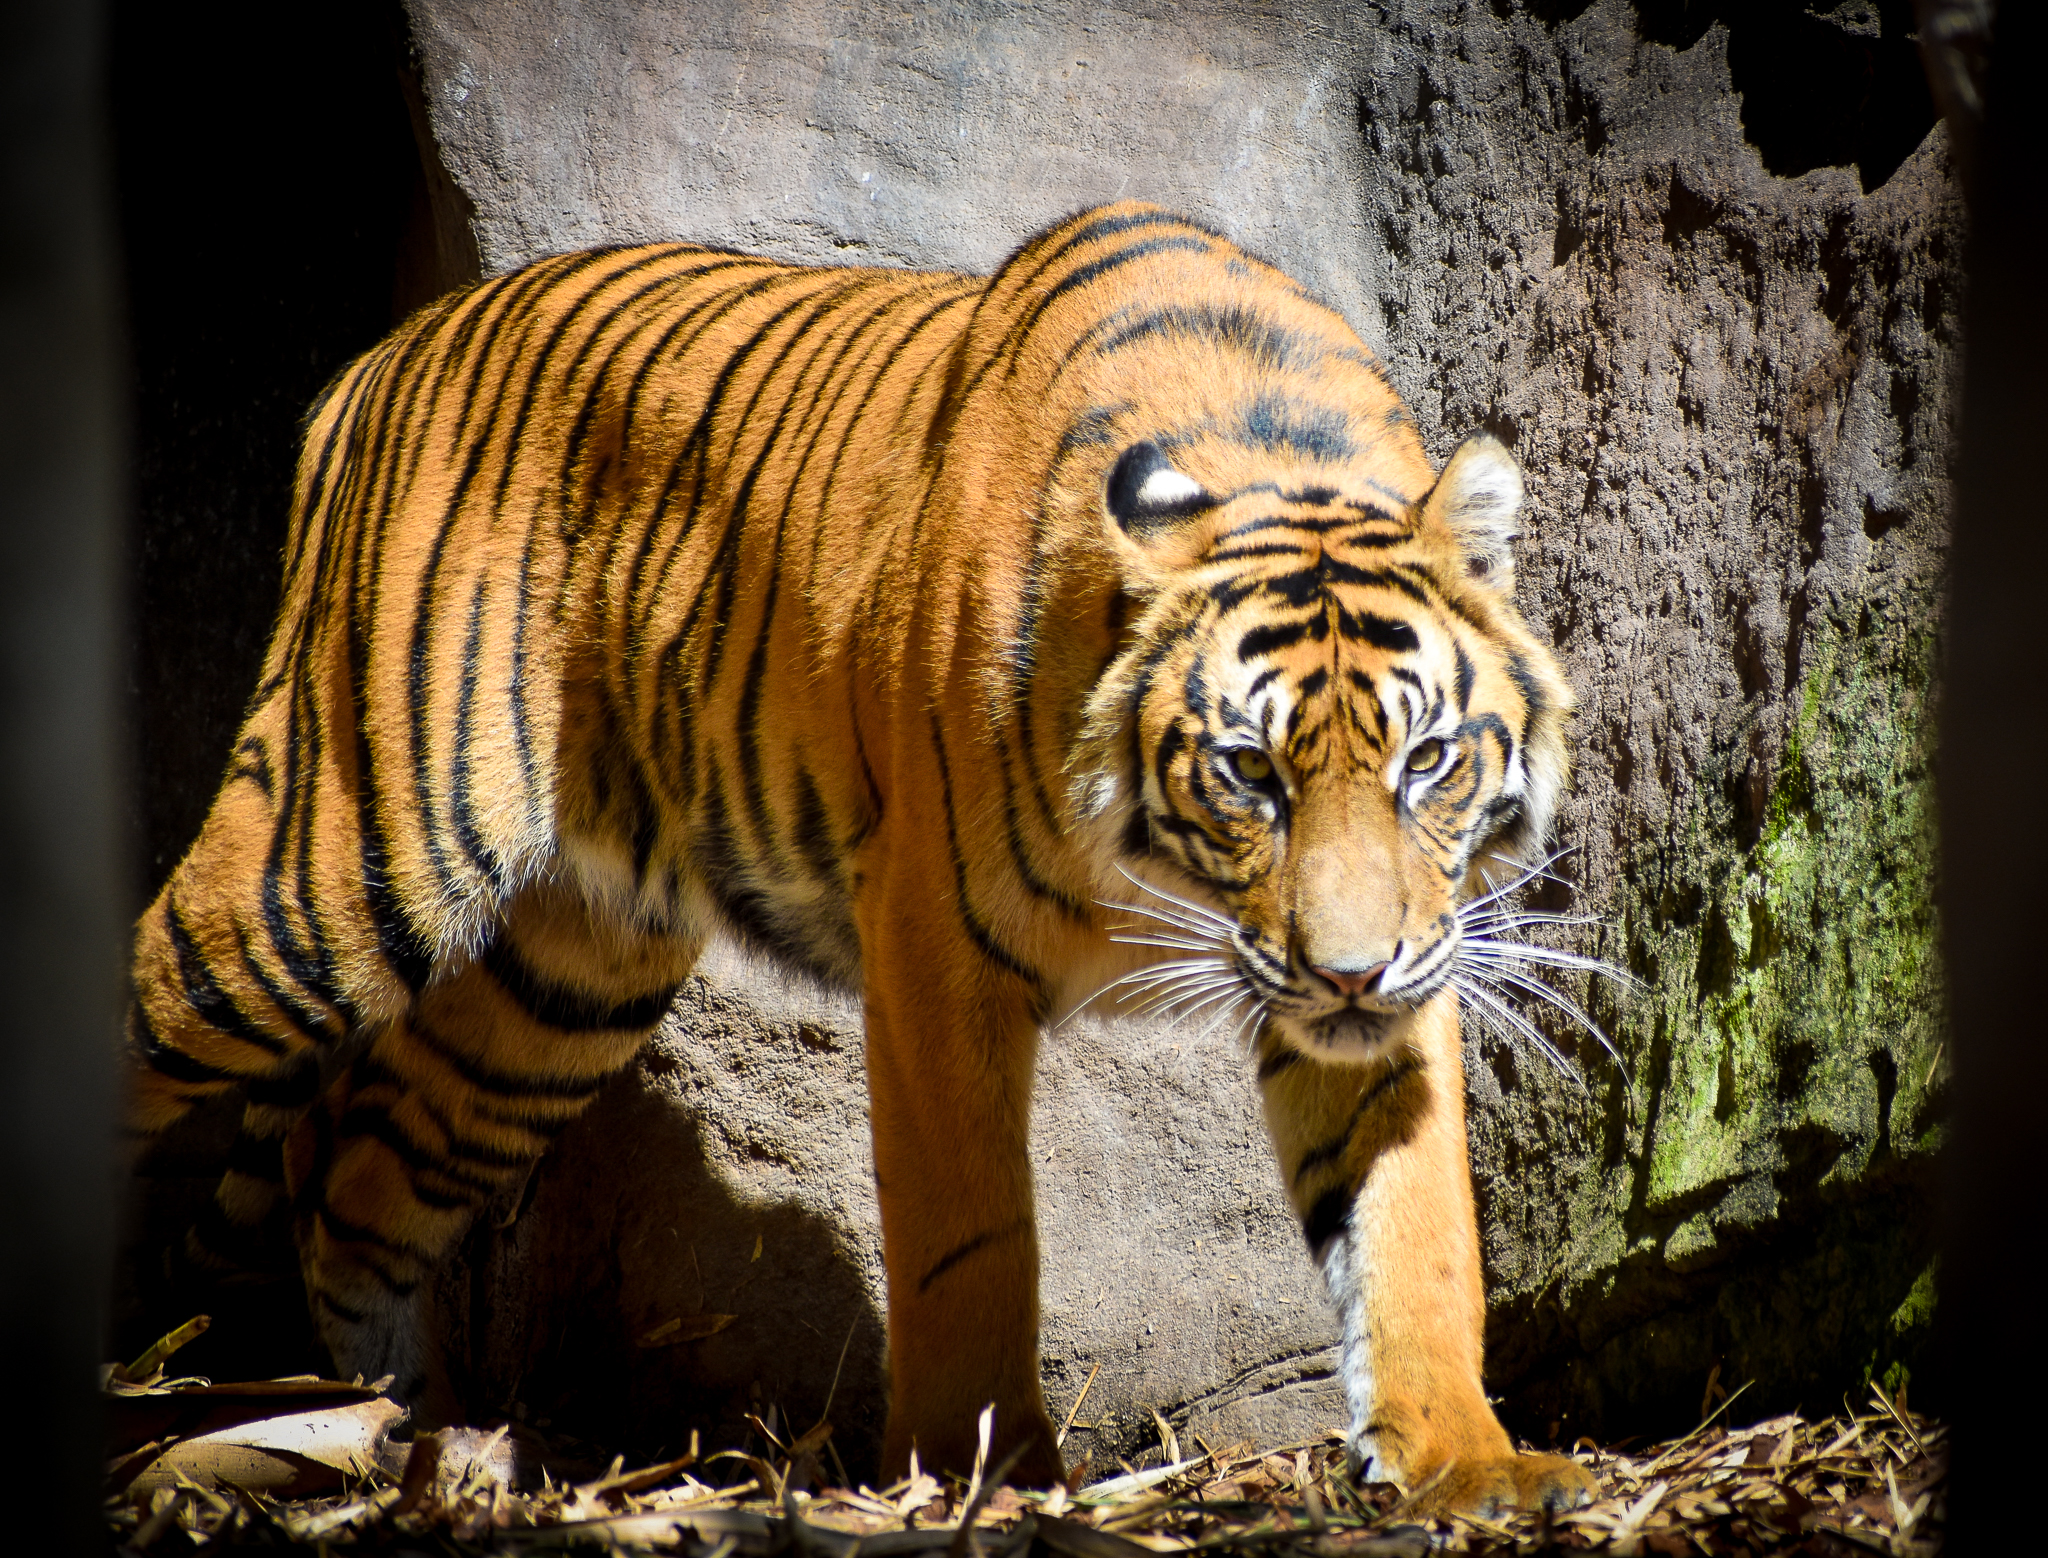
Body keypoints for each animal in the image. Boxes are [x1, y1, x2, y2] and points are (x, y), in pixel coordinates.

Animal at [125, 202, 1598, 1514]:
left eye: (1425, 761)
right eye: (1249, 772)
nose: (1348, 975)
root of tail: (381, 357)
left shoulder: (1408, 960)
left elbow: (1414, 1222)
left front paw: (1463, 1460)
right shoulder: (937, 949)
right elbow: (970, 1239)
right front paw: (981, 1470)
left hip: (561, 985)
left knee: (358, 1181)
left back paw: (398, 1431)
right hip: (326, 876)